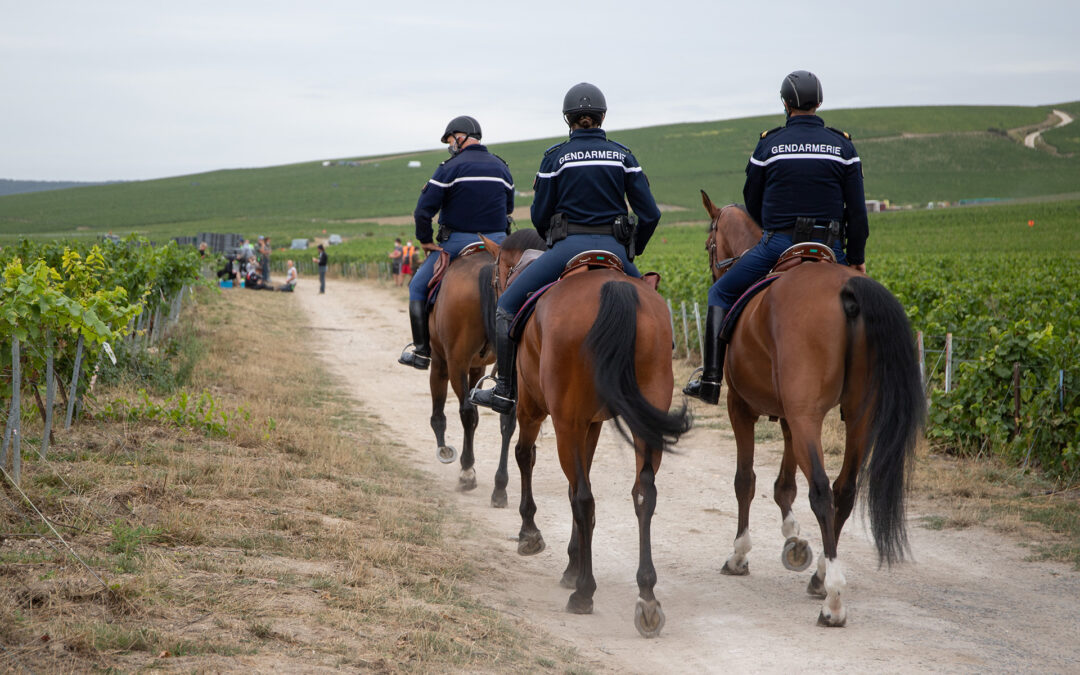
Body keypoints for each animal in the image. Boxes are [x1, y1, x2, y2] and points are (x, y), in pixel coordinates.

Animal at [425, 227, 544, 505]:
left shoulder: (443, 360)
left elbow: (444, 408)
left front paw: (445, 449)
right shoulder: (481, 367)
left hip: (455, 362)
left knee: (467, 412)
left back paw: (467, 472)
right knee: (507, 420)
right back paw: (500, 487)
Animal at [507, 263, 691, 635]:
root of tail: (614, 289)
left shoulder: (536, 409)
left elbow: (527, 457)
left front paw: (530, 534)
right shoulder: (590, 425)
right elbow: (575, 485)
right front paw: (572, 564)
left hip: (563, 420)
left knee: (584, 497)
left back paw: (584, 593)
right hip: (644, 415)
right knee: (643, 493)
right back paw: (647, 597)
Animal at [704, 187, 924, 626]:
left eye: (708, 243)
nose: (714, 272)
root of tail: (846, 292)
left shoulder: (742, 407)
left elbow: (746, 481)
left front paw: (740, 555)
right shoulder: (790, 415)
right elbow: (784, 485)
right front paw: (795, 542)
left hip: (808, 416)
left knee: (822, 490)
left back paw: (833, 599)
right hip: (858, 414)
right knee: (844, 489)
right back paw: (822, 576)